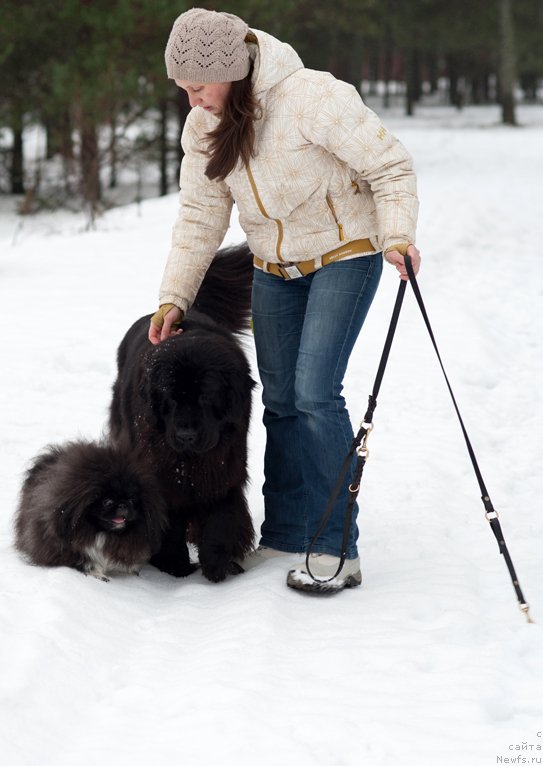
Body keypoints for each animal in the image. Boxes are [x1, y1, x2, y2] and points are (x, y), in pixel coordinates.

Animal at [14, 438, 168, 584]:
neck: (102, 534)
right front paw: (99, 575)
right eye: (107, 502)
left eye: (131, 501)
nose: (123, 505)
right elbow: (85, 561)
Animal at [110, 244, 258, 584]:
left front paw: (217, 564)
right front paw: (174, 566)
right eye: (170, 399)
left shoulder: (224, 468)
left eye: (206, 396)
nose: (186, 435)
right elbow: (169, 521)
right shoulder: (159, 471)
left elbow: (221, 516)